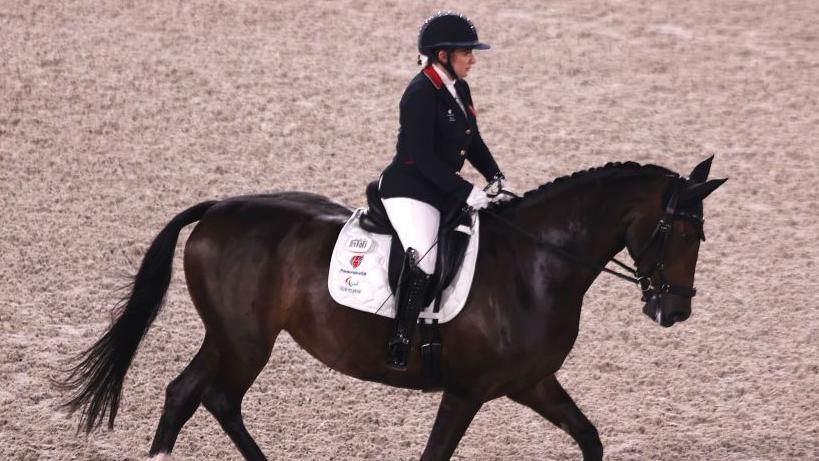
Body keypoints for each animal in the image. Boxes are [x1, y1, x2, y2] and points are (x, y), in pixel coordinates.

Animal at [65, 159, 724, 460]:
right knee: (218, 397)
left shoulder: (531, 382)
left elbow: (588, 437)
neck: (535, 265)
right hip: (247, 341)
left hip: (229, 336)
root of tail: (219, 208)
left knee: (186, 392)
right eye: (678, 232)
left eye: (701, 236)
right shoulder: (468, 390)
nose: (673, 312)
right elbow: (436, 455)